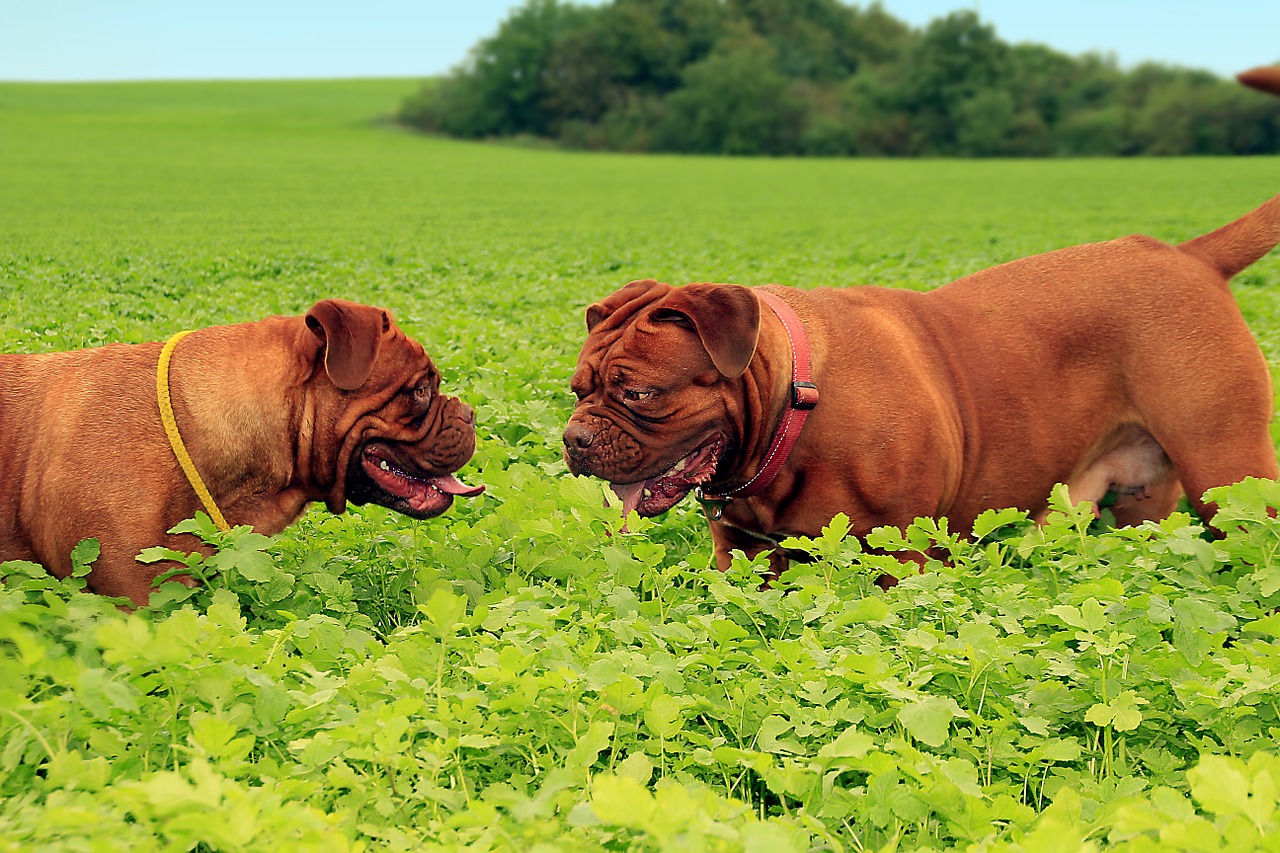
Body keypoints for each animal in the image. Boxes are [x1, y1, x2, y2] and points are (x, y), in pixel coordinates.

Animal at [565, 193, 1280, 578]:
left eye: (641, 394)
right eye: (578, 391)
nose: (574, 439)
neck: (795, 412)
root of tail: (1188, 256)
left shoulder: (903, 556)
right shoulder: (743, 556)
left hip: (1227, 468)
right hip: (1142, 497)